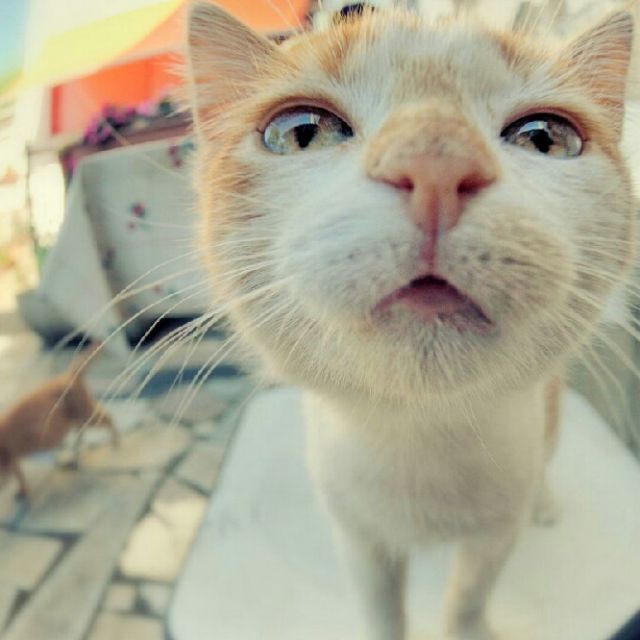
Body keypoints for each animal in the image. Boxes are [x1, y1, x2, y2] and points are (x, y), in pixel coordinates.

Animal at [0, 343, 117, 498]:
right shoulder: (12, 460)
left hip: (86, 415)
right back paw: (74, 459)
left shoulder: (9, 461)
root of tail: (69, 374)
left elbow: (18, 477)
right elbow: (18, 475)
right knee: (83, 433)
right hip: (78, 419)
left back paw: (116, 443)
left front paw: (24, 492)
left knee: (108, 417)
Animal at [185, 3, 635, 639]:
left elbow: (469, 596)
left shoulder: (495, 534)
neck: (422, 437)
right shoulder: (358, 539)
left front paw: (468, 625)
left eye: (546, 137)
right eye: (301, 131)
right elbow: (380, 608)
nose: (436, 161)